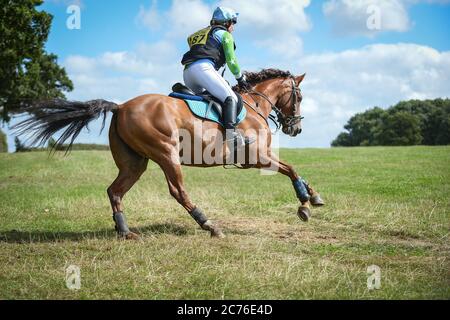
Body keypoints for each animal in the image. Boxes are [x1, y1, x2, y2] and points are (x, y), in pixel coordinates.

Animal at [13, 70, 324, 240]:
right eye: (299, 96)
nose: (296, 128)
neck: (254, 104)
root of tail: (120, 106)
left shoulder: (261, 157)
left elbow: (294, 170)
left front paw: (314, 197)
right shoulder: (256, 158)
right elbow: (291, 168)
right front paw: (304, 205)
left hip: (134, 163)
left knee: (115, 190)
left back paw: (125, 231)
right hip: (166, 154)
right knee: (178, 191)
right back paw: (209, 225)